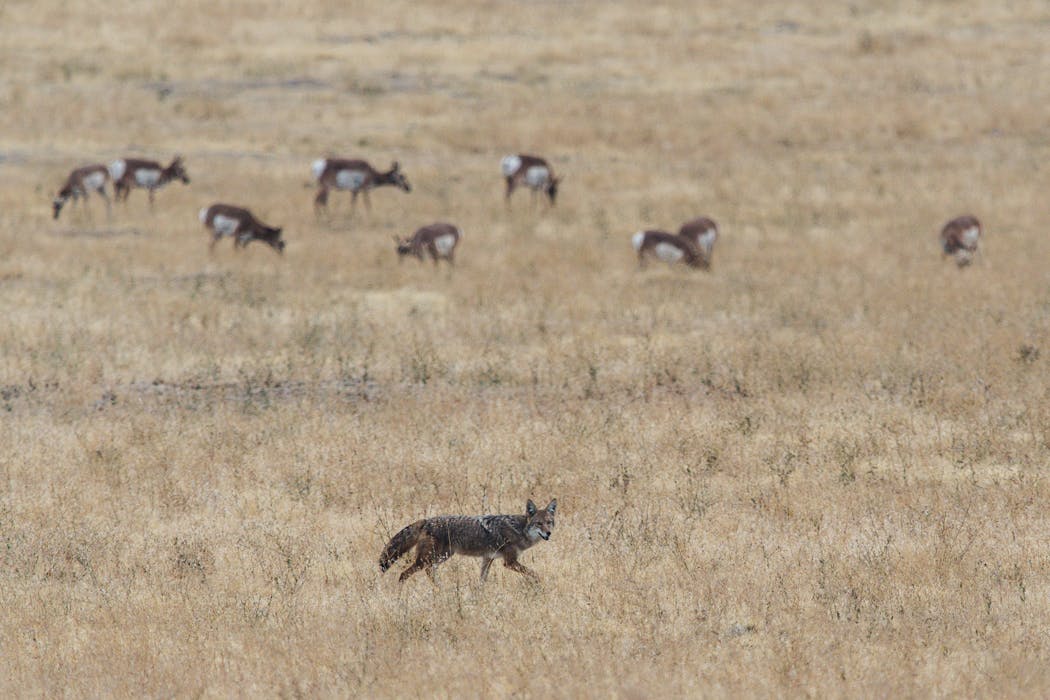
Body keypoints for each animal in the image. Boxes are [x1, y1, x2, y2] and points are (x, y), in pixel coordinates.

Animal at [380, 498, 557, 583]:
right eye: (539, 523)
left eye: (549, 522)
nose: (548, 533)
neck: (518, 529)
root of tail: (427, 520)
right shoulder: (509, 562)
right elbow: (535, 574)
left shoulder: (487, 559)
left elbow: (481, 582)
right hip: (429, 559)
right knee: (404, 574)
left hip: (440, 557)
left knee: (428, 571)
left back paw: (440, 589)